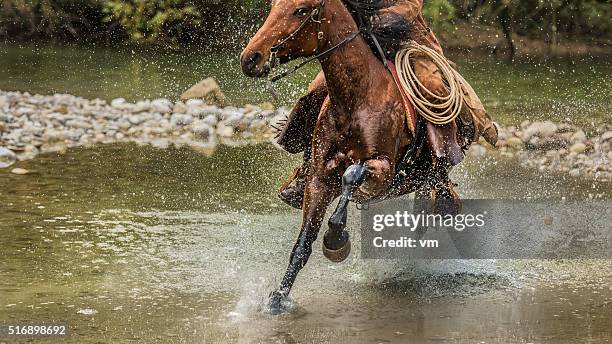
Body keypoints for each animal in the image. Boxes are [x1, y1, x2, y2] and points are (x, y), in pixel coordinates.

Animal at [241, 0, 452, 314]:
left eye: (301, 10)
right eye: (273, 6)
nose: (250, 58)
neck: (358, 98)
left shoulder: (384, 170)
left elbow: (352, 175)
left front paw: (336, 238)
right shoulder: (318, 178)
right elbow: (303, 245)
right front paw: (277, 299)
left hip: (429, 180)